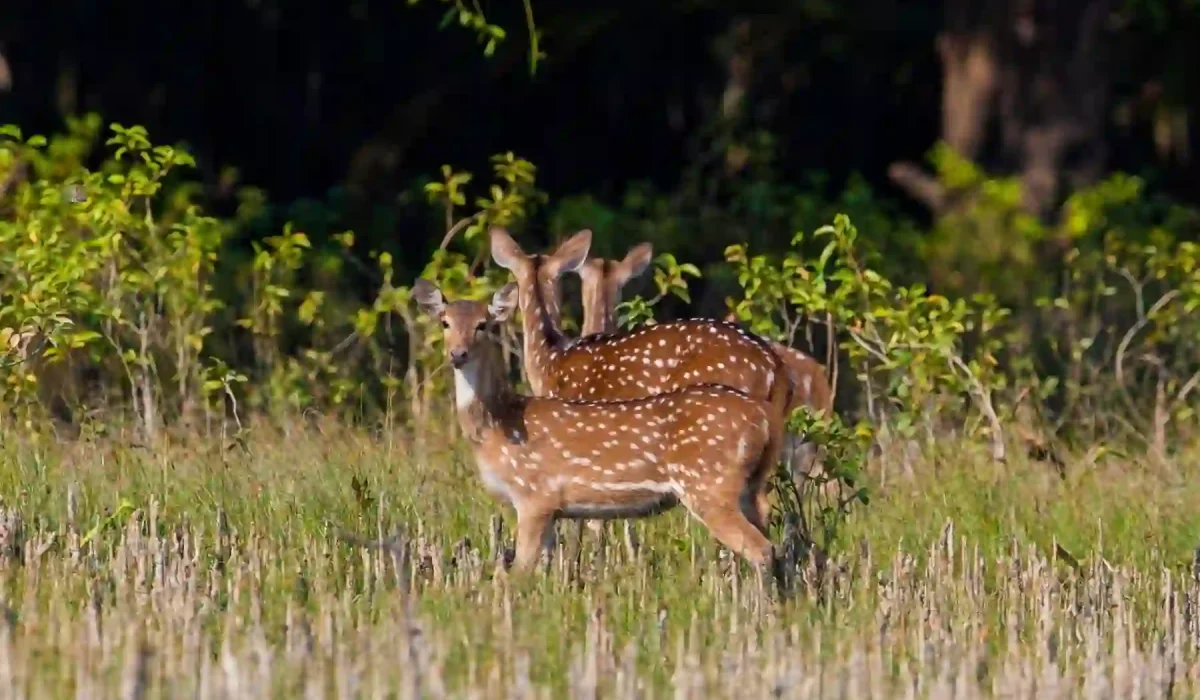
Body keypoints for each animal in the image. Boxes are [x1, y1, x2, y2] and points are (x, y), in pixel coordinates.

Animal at [411, 278, 785, 586]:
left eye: (483, 325)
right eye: (444, 322)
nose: (457, 353)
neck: (498, 425)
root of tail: (764, 416)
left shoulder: (535, 495)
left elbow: (518, 573)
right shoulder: (552, 510)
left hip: (709, 483)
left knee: (762, 549)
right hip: (747, 484)